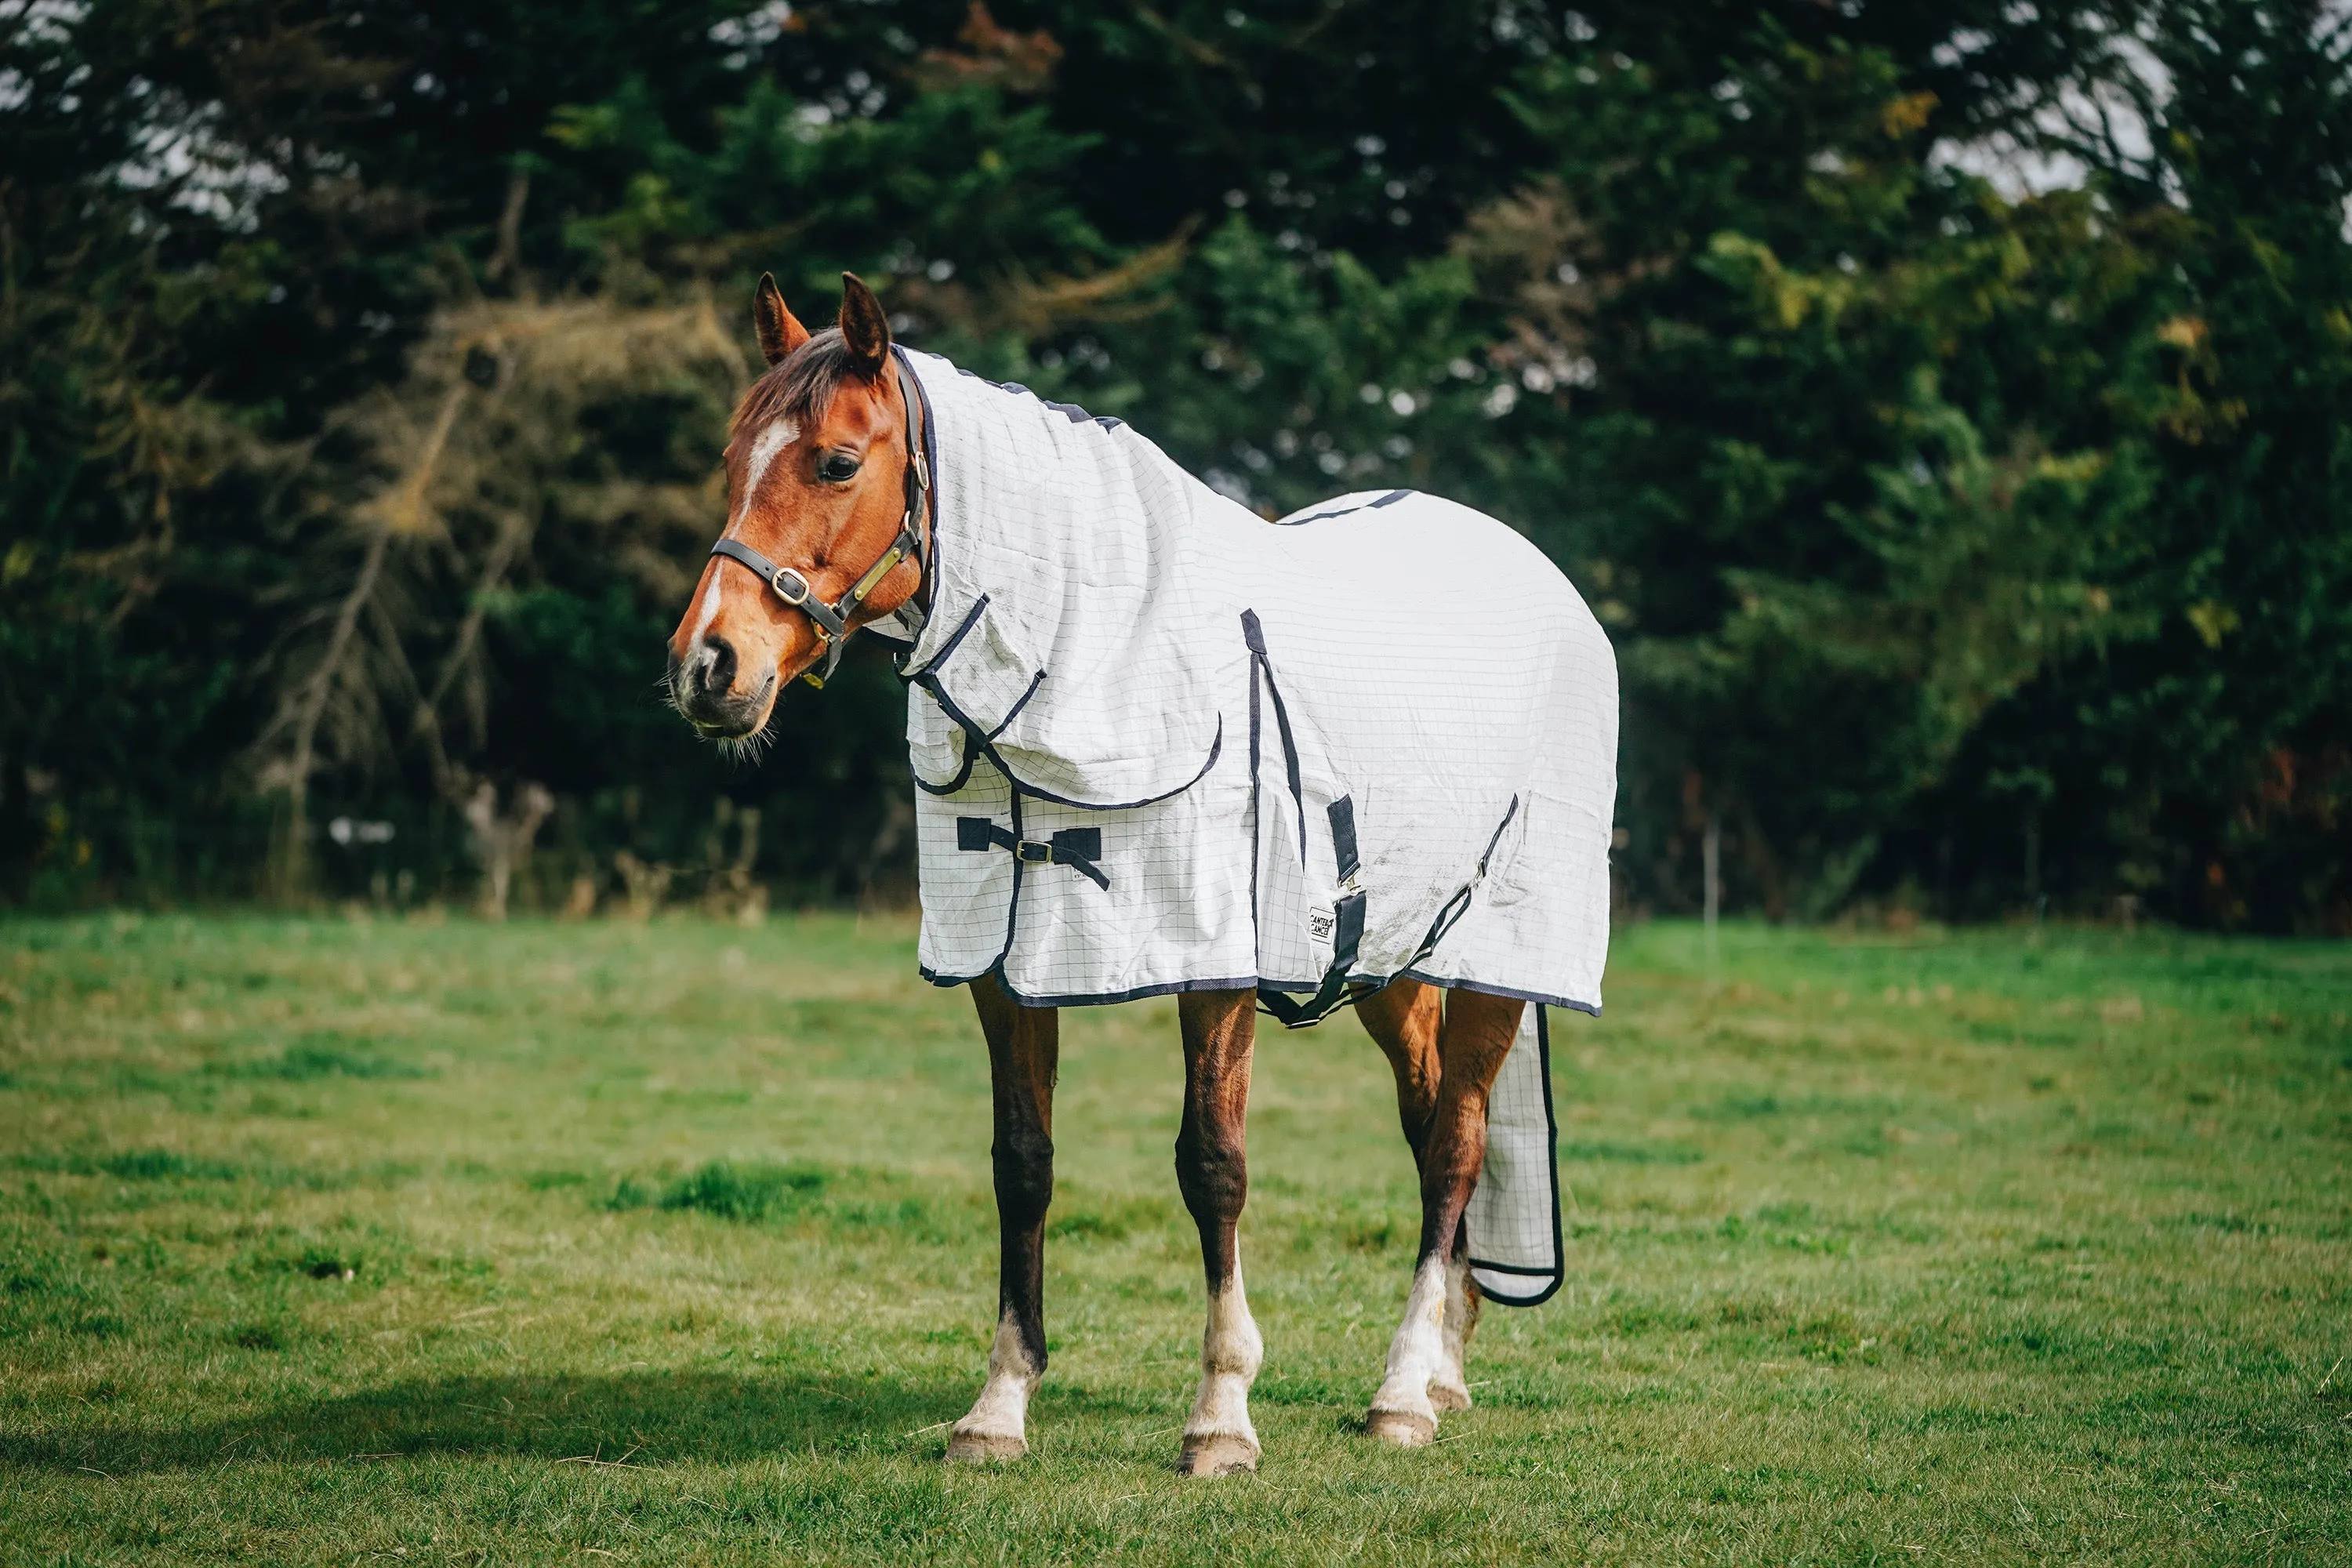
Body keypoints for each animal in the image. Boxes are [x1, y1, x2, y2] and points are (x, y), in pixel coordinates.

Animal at [668, 272, 1618, 1476]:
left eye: (837, 462)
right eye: (731, 455)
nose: (709, 666)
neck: (1098, 654)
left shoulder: (1214, 966)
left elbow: (1213, 1164)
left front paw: (1222, 1415)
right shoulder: (1006, 961)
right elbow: (1021, 1163)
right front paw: (998, 1406)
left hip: (1496, 956)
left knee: (1454, 1145)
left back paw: (1404, 1391)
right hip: (1398, 958)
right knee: (1433, 1127)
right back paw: (1442, 1371)